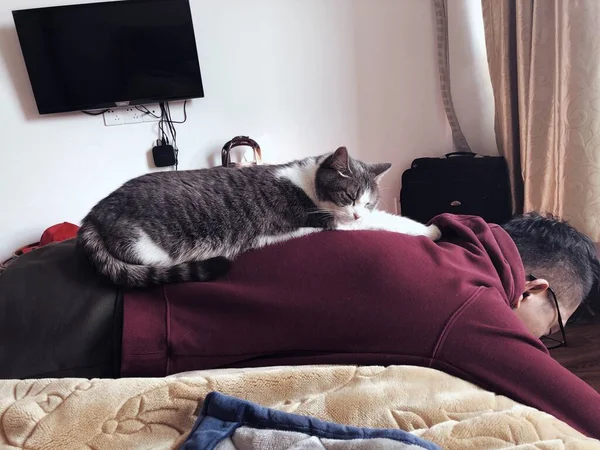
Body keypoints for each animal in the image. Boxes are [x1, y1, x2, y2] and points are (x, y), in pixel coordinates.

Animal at [77, 148, 440, 288]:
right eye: (349, 197)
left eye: (367, 201)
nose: (356, 211)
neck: (307, 181)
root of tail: (93, 214)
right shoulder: (331, 220)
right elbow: (390, 222)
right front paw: (432, 229)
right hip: (148, 247)